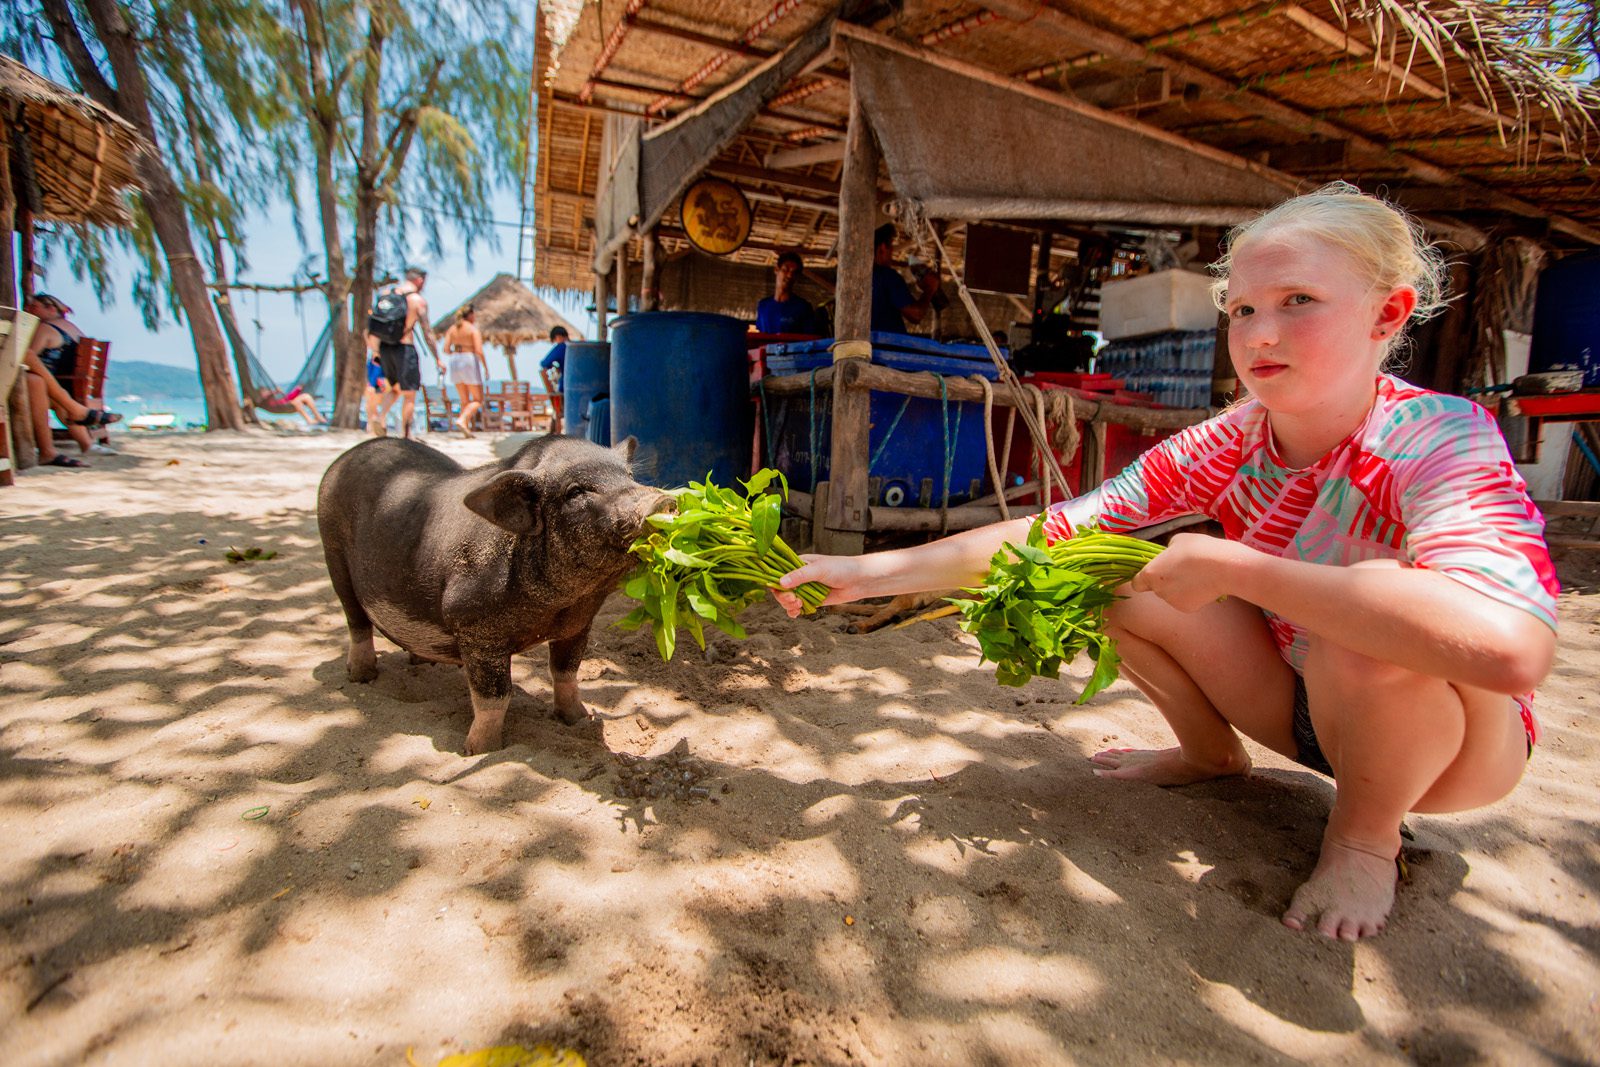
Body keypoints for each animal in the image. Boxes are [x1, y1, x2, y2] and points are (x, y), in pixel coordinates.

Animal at [316, 434, 671, 754]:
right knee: (356, 620)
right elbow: (494, 696)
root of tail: (346, 457)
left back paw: (423, 662)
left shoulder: (578, 624)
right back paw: (362, 676)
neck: (558, 606)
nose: (663, 501)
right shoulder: (473, 624)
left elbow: (566, 672)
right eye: (576, 491)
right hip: (332, 551)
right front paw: (479, 750)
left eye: (629, 477)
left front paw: (579, 719)